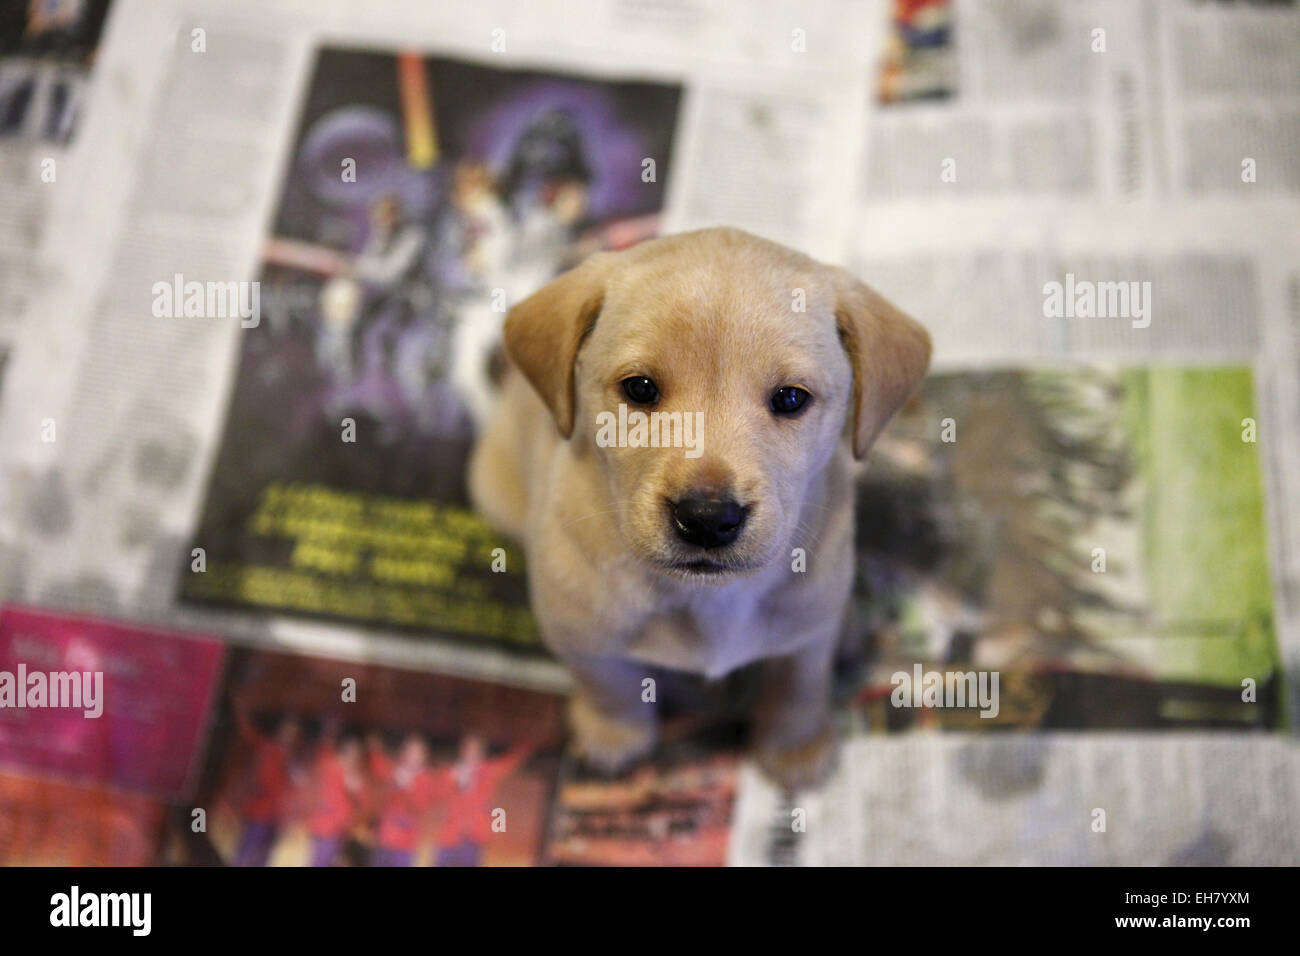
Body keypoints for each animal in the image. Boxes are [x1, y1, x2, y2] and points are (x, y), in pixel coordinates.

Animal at [473, 227, 930, 790]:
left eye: (791, 399)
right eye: (640, 388)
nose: (708, 519)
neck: (707, 598)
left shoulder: (807, 631)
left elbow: (796, 688)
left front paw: (795, 748)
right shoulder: (579, 635)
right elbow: (609, 686)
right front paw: (614, 736)